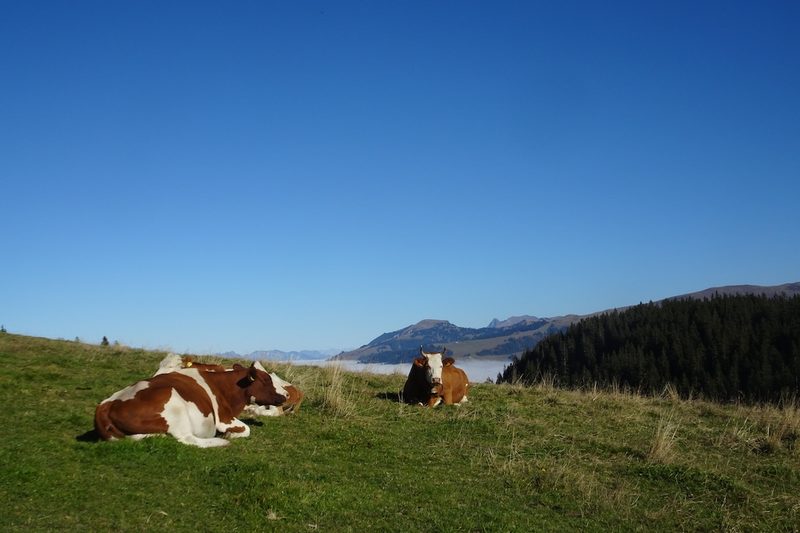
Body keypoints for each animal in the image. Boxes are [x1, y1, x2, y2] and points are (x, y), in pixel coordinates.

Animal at [94, 362, 287, 448]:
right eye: (267, 380)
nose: (286, 394)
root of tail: (105, 406)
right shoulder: (223, 418)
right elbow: (246, 429)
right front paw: (229, 435)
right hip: (175, 404)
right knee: (187, 438)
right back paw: (219, 442)